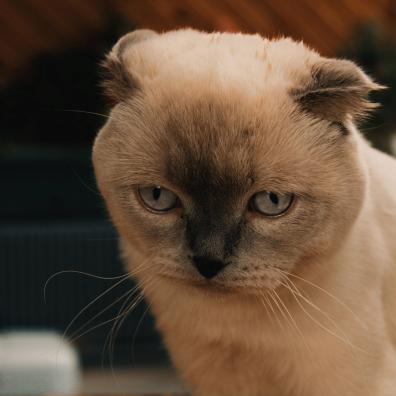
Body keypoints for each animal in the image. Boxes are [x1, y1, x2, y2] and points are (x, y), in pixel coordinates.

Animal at [93, 28, 396, 396]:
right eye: (158, 196)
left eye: (271, 202)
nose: (208, 262)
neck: (239, 331)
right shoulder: (217, 382)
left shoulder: (349, 382)